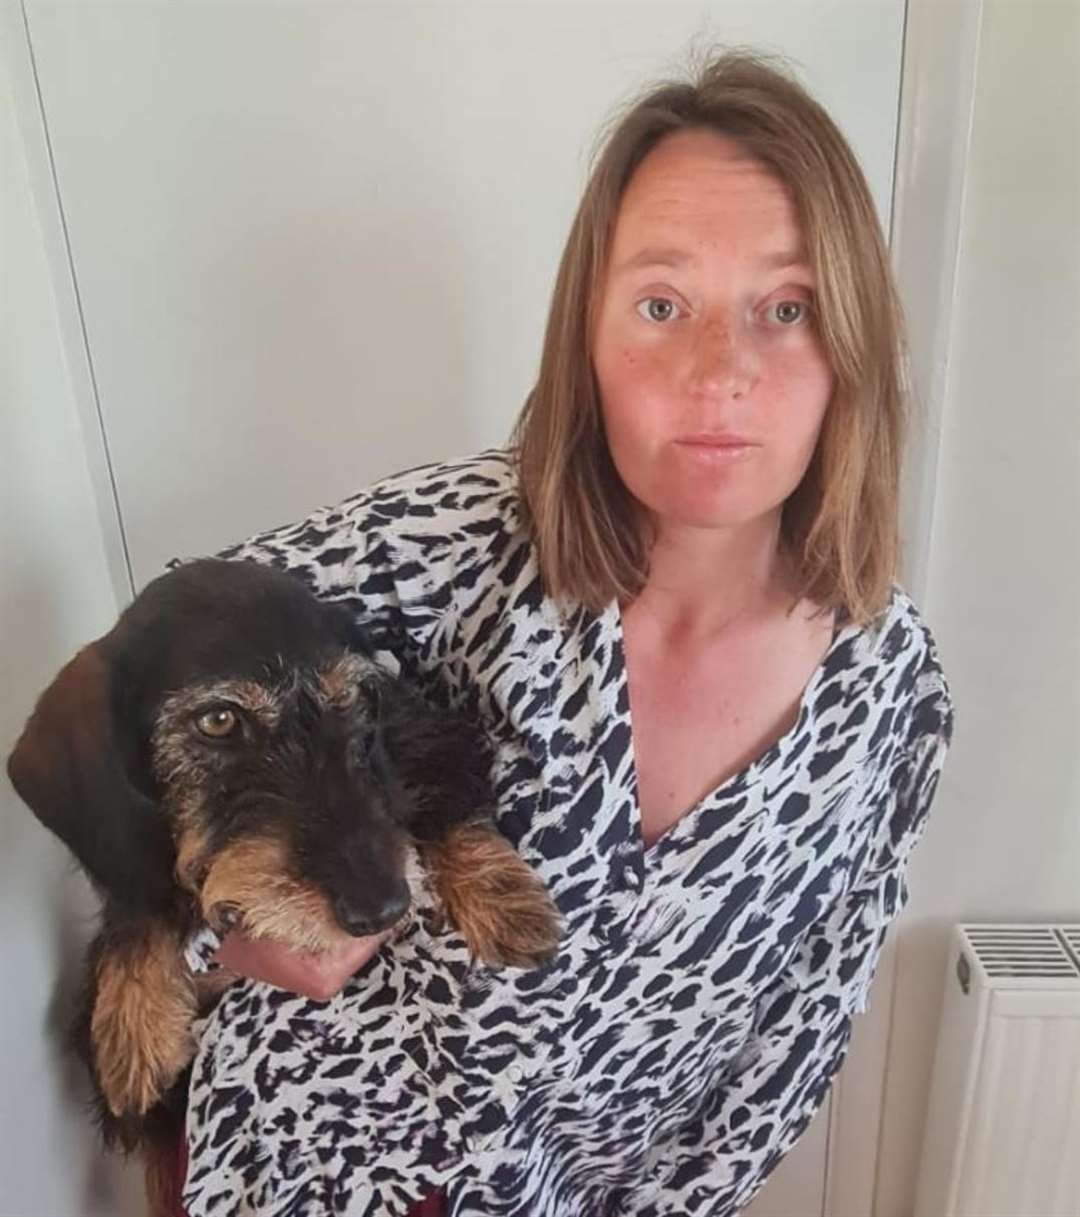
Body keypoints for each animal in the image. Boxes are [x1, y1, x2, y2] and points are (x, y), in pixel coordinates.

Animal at [8, 557, 562, 1207]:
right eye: (218, 719)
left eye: (354, 704)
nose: (381, 908)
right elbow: (139, 899)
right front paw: (130, 1023)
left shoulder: (423, 737)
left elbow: (441, 794)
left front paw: (503, 897)